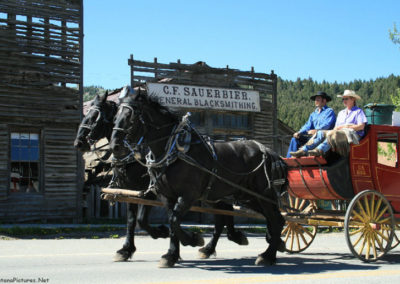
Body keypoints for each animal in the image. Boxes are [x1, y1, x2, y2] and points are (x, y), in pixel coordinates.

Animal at [74, 91, 247, 262]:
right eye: (115, 118)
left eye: (94, 117)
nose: (78, 143)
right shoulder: (131, 191)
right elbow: (131, 221)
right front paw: (126, 250)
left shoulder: (149, 192)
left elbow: (142, 220)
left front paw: (163, 233)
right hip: (211, 194)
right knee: (223, 214)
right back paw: (215, 245)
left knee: (222, 215)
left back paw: (216, 243)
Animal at [111, 92, 290, 268]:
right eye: (115, 117)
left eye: (130, 117)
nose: (115, 146)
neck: (174, 152)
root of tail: (270, 152)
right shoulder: (166, 196)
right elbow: (168, 221)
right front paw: (171, 255)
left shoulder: (188, 195)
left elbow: (173, 221)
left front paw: (192, 239)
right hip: (249, 198)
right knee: (269, 219)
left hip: (264, 196)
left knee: (276, 220)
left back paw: (267, 255)